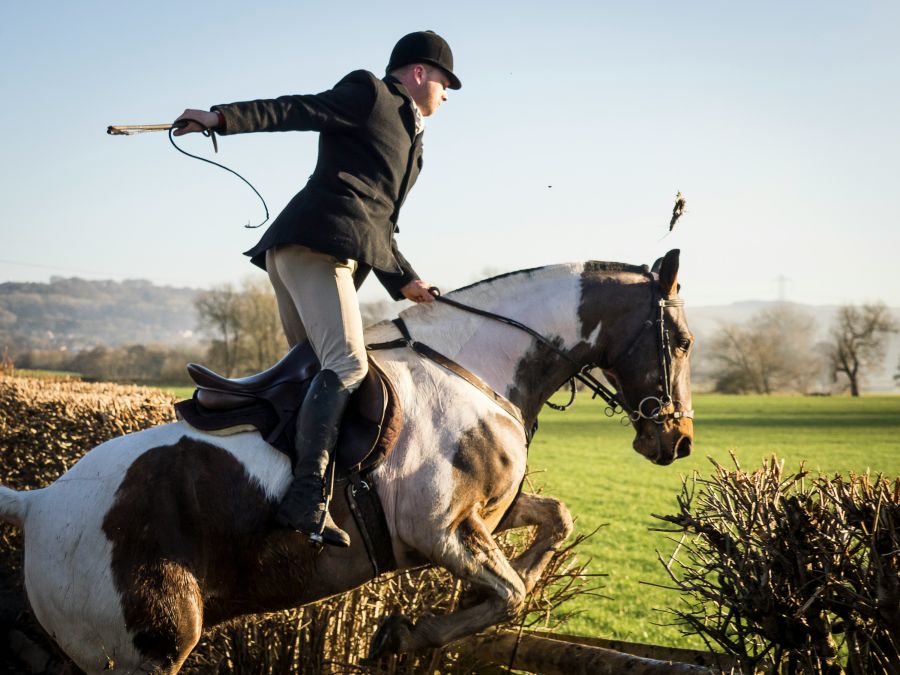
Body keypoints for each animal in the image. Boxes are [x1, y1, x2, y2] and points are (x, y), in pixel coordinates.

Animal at [0, 250, 696, 675]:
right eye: (685, 342)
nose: (679, 441)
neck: (475, 365)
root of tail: (39, 502)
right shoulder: (437, 529)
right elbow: (512, 593)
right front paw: (408, 634)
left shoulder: (486, 517)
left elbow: (555, 522)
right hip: (143, 649)